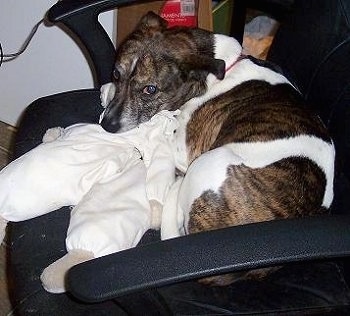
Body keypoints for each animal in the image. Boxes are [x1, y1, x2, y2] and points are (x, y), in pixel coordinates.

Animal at [100, 11, 334, 284]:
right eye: (116, 75)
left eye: (150, 89)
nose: (107, 125)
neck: (221, 68)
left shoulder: (187, 150)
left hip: (207, 161)